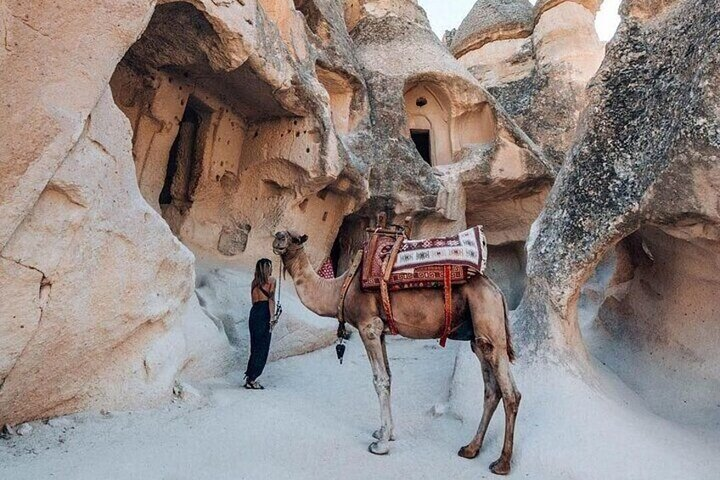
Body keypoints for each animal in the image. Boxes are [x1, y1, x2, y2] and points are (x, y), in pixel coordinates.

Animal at [272, 230, 521, 476]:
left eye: (295, 238)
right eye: (282, 233)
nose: (278, 237)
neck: (340, 288)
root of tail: (497, 291)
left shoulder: (368, 326)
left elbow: (379, 380)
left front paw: (380, 445)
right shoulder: (381, 331)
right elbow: (389, 377)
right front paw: (386, 432)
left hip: (487, 318)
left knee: (511, 393)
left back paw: (501, 463)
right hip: (478, 333)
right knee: (491, 390)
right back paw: (470, 449)